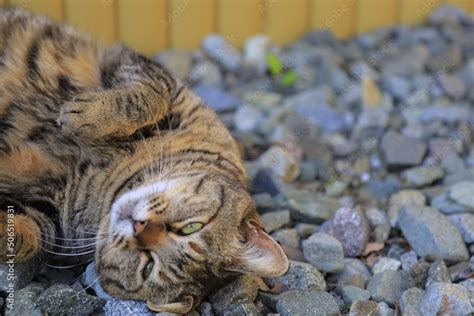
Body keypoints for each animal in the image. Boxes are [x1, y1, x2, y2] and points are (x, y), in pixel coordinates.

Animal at [0, 7, 288, 314]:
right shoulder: (151, 74)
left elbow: (24, 237)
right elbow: (151, 96)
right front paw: (87, 116)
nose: (139, 227)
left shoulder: (43, 212)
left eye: (147, 266)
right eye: (191, 227)